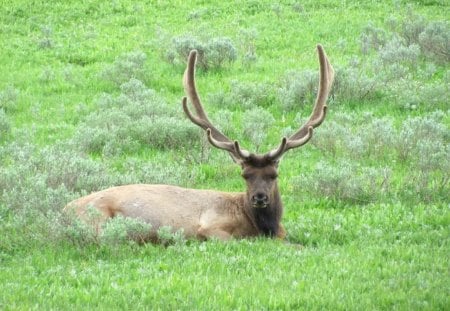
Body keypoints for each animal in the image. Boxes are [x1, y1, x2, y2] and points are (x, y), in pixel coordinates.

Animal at [66, 45, 334, 243]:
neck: (261, 225)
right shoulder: (210, 227)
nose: (259, 197)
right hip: (99, 223)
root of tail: (62, 213)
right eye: (245, 175)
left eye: (273, 174)